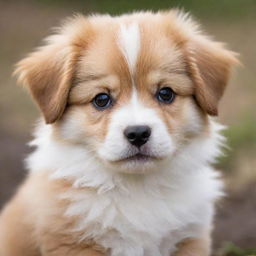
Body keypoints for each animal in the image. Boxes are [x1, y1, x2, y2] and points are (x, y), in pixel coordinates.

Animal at [0, 10, 238, 256]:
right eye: (101, 99)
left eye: (166, 93)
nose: (138, 133)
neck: (137, 188)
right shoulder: (74, 244)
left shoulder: (189, 239)